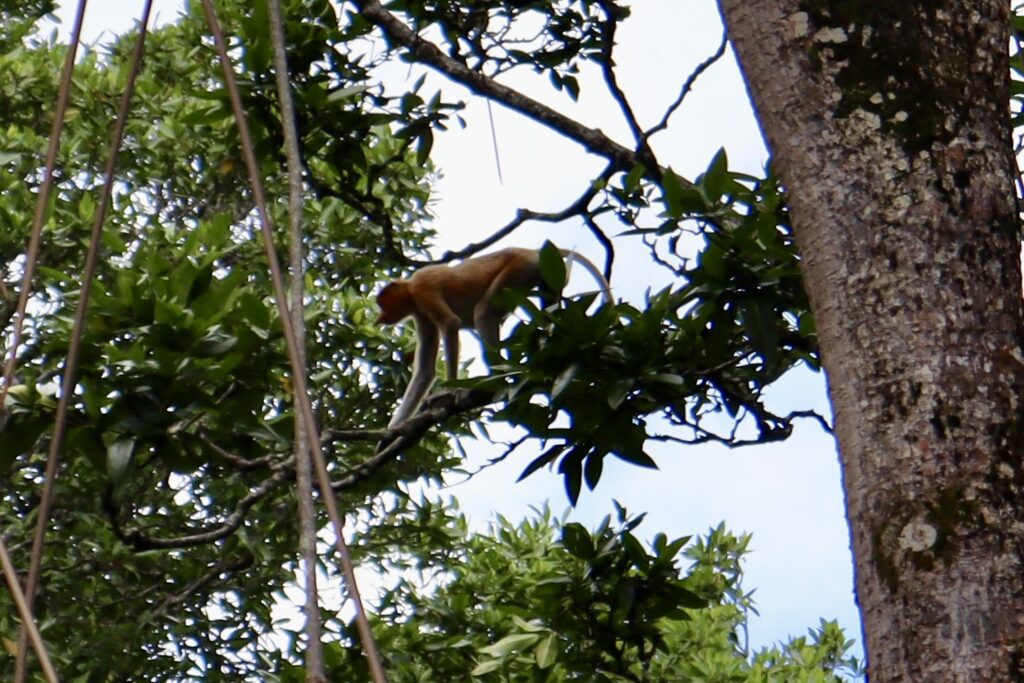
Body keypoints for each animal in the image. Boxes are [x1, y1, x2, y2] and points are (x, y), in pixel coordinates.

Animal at [378, 245, 610, 428]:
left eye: (382, 303)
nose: (381, 318)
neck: (409, 288)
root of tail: (532, 251)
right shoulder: (420, 313)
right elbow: (425, 371)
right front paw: (388, 435)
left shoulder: (423, 288)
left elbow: (451, 324)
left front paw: (451, 391)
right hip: (544, 274)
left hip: (519, 270)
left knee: (483, 312)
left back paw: (495, 379)